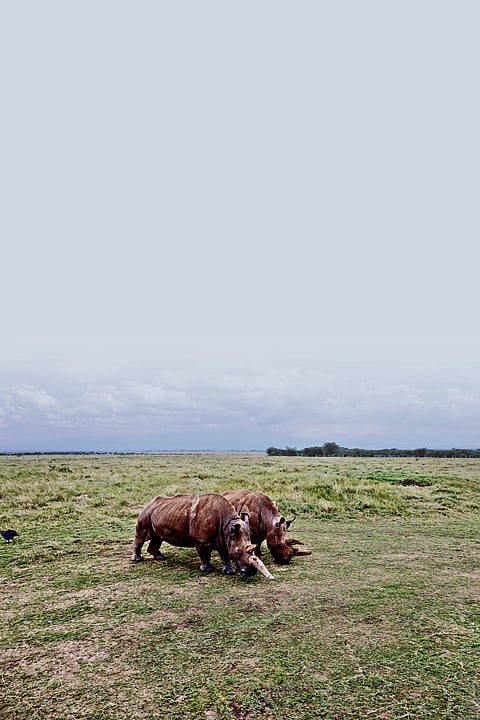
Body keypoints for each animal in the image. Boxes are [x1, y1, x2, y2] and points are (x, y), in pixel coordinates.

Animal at [132, 492, 274, 579]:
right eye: (238, 552)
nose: (251, 573)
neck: (228, 525)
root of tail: (149, 503)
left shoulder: (224, 537)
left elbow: (225, 554)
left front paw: (229, 572)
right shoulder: (202, 540)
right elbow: (204, 554)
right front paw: (207, 569)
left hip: (158, 512)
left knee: (157, 538)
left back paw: (160, 557)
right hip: (146, 513)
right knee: (142, 536)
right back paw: (137, 559)